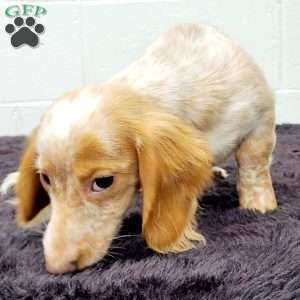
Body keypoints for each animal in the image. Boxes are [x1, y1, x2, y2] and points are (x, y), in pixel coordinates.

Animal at [0, 23, 276, 274]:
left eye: (103, 182)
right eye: (45, 179)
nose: (55, 267)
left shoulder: (260, 116)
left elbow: (253, 162)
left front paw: (259, 203)